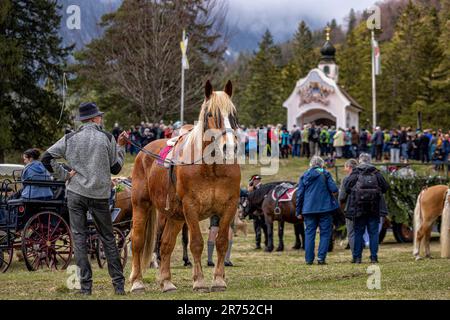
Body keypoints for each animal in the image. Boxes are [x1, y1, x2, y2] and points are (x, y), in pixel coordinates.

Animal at [130, 80, 243, 292]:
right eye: (210, 114)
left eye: (233, 114)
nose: (230, 147)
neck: (211, 168)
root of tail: (144, 152)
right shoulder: (190, 207)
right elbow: (196, 243)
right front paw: (199, 281)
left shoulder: (229, 206)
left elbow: (222, 242)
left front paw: (218, 280)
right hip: (141, 205)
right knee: (138, 242)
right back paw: (137, 283)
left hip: (175, 216)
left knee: (166, 244)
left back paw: (166, 282)